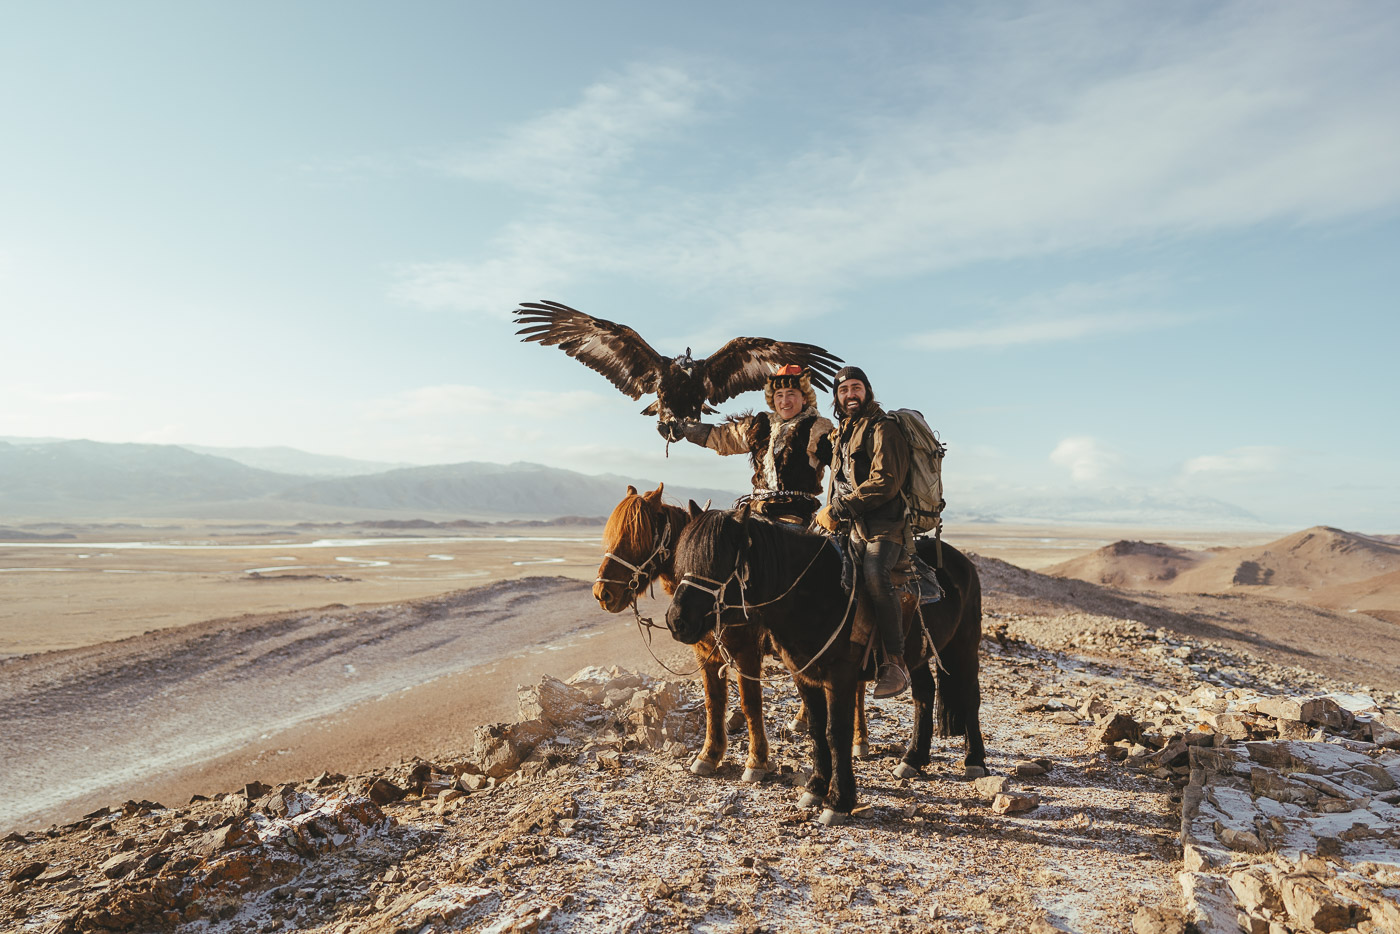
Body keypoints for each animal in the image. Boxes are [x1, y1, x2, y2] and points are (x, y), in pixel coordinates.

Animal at [593, 487, 868, 778]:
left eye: (635, 537)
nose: (602, 593)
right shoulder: (705, 652)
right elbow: (713, 701)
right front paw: (709, 755)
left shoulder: (747, 652)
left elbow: (750, 703)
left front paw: (757, 761)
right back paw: (803, 719)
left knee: (859, 687)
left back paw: (860, 740)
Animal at [663, 504, 985, 823]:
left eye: (718, 561)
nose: (676, 620)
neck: (811, 591)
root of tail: (962, 563)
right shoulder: (802, 673)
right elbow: (817, 729)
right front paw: (816, 788)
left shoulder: (838, 674)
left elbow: (836, 731)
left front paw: (839, 801)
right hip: (915, 656)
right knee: (924, 694)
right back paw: (913, 760)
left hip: (964, 645)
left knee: (970, 696)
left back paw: (975, 761)